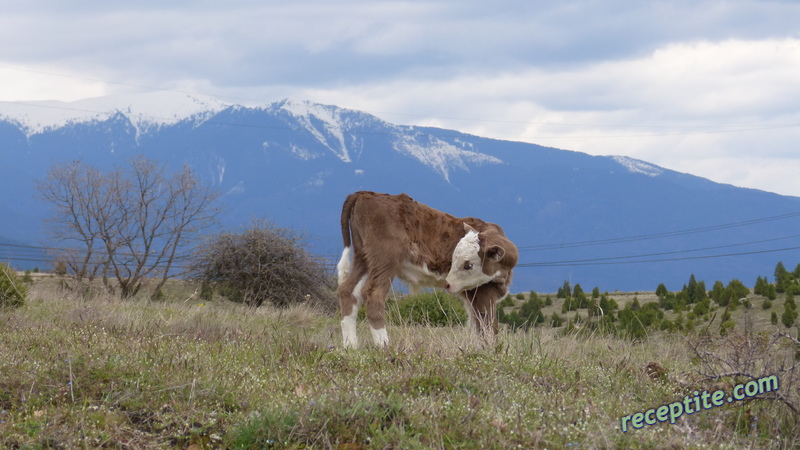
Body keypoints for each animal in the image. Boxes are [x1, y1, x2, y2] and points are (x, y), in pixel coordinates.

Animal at [332, 190, 516, 348]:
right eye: (459, 260)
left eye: (467, 264)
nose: (447, 283)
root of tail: (364, 194)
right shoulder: (483, 293)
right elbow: (488, 328)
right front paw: (490, 353)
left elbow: (475, 327)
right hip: (385, 258)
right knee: (373, 293)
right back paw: (384, 347)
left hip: (364, 258)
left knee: (348, 290)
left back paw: (351, 346)